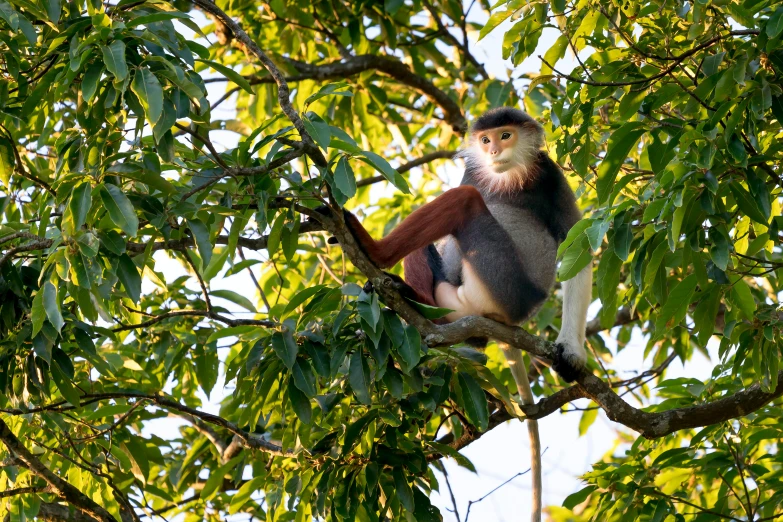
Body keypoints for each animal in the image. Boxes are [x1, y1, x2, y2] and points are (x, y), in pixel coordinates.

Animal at [330, 106, 596, 520]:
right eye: (485, 140)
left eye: (505, 135)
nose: (493, 151)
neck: (508, 176)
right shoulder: (476, 171)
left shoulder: (550, 174)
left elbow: (577, 244)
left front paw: (572, 350)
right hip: (455, 295)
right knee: (437, 241)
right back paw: (412, 300)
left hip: (499, 282)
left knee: (465, 202)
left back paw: (374, 251)